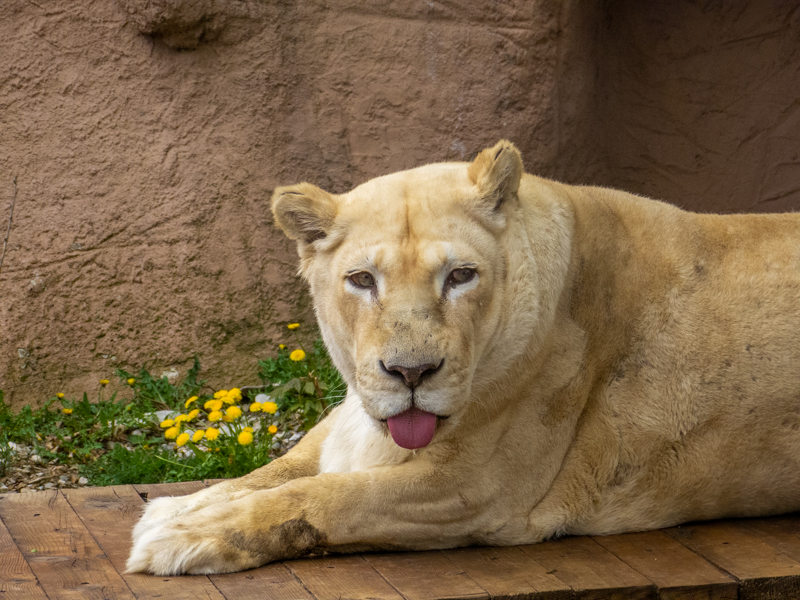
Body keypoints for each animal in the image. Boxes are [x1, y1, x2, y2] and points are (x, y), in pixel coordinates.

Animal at [127, 140, 800, 576]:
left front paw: (184, 537)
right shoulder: (350, 427)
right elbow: (274, 472)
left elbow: (326, 498)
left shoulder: (477, 488)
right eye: (362, 280)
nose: (410, 373)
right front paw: (180, 508)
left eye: (460, 276)